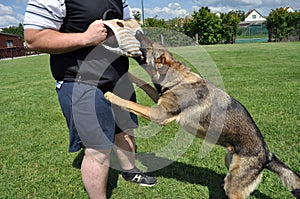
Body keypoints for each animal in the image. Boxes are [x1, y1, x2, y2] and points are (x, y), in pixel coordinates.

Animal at [103, 31, 300, 198]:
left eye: (149, 44)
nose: (138, 31)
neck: (178, 79)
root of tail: (267, 154)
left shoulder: (159, 115)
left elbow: (129, 103)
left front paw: (111, 95)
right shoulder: (159, 102)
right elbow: (142, 82)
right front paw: (126, 75)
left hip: (235, 183)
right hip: (229, 161)